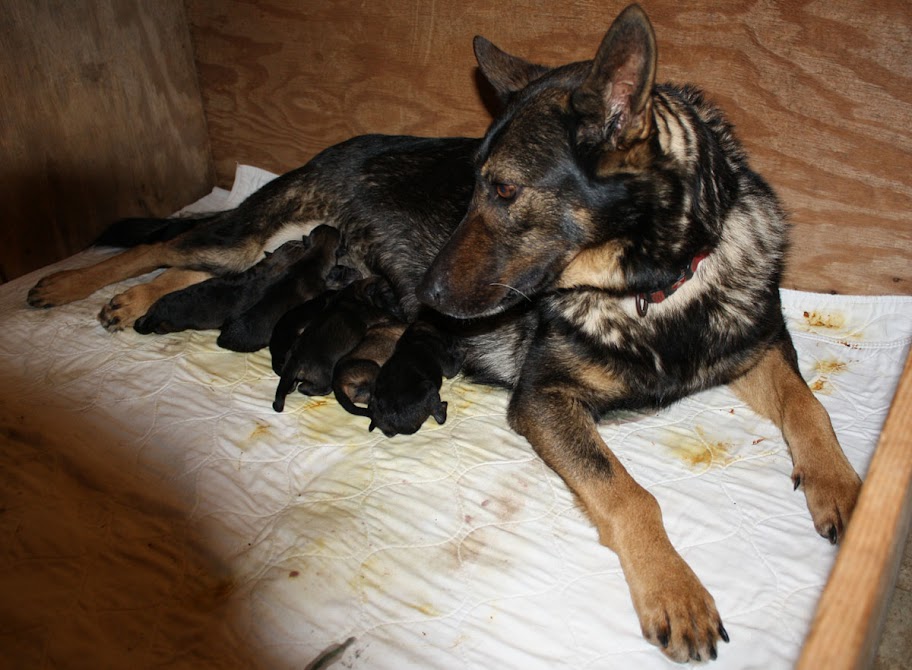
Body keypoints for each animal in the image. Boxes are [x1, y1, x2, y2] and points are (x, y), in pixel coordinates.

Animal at [26, 4, 862, 662]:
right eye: (471, 187)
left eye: (504, 191)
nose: (423, 297)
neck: (651, 290)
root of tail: (341, 145)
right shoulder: (544, 400)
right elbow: (628, 495)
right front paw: (675, 590)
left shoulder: (756, 347)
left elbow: (806, 404)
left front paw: (842, 487)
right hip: (253, 231)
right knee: (167, 242)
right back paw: (76, 285)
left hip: (275, 252)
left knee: (196, 265)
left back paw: (135, 303)